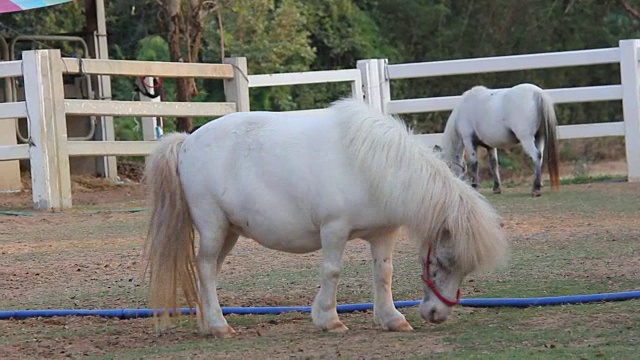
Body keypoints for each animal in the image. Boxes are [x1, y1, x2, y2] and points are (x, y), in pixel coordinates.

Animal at [142, 97, 508, 336]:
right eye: (441, 263)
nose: (436, 315)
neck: (371, 166)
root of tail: (187, 141)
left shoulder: (383, 234)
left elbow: (384, 274)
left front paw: (391, 319)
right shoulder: (334, 230)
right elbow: (332, 271)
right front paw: (328, 319)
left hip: (229, 233)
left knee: (210, 272)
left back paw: (208, 322)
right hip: (214, 227)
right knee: (205, 268)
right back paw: (219, 326)